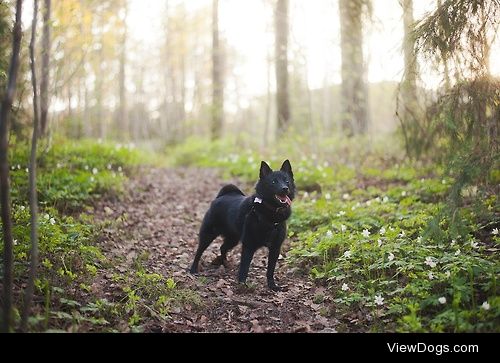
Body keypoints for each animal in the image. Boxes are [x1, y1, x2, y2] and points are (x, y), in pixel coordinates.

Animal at [189, 161, 294, 292]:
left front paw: (272, 286)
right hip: (208, 235)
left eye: (287, 181)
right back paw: (193, 269)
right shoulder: (249, 245)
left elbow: (270, 270)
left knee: (223, 248)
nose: (285, 188)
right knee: (199, 251)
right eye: (273, 182)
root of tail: (221, 196)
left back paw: (225, 263)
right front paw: (242, 285)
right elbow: (244, 267)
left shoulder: (275, 248)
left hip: (233, 239)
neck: (270, 214)